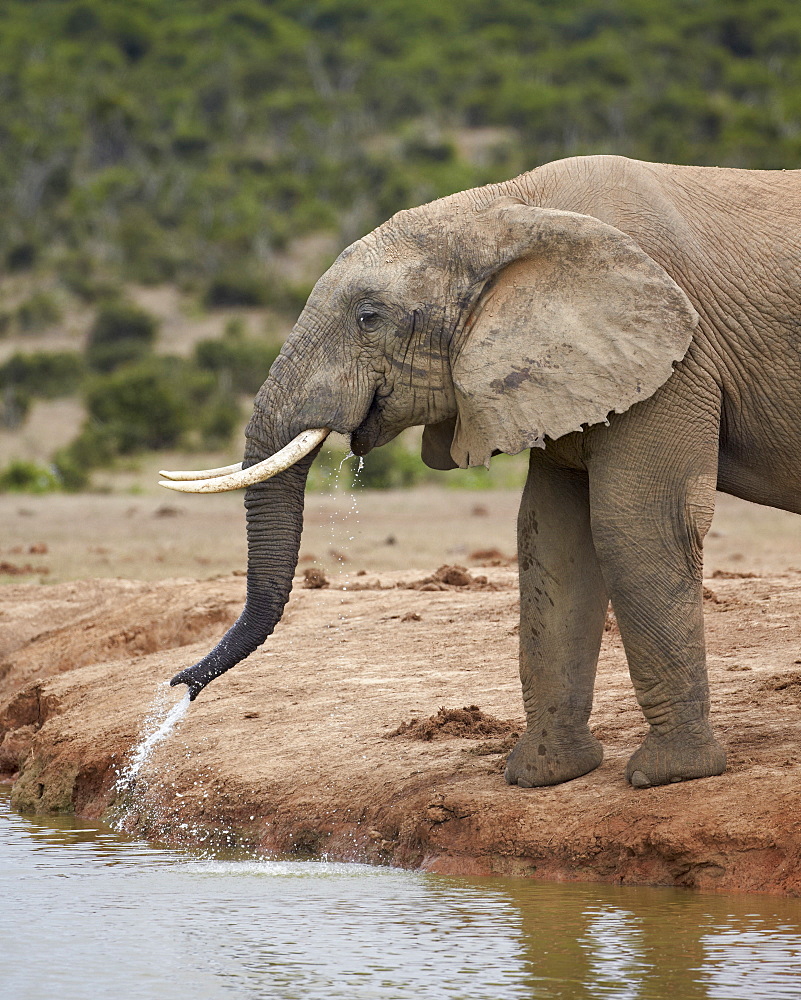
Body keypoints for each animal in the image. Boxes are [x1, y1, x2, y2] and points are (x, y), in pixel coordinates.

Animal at [161, 154, 800, 788]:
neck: (504, 212)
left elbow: (636, 526)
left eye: (369, 318)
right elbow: (552, 537)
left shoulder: (676, 360)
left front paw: (671, 775)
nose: (178, 685)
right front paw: (543, 776)